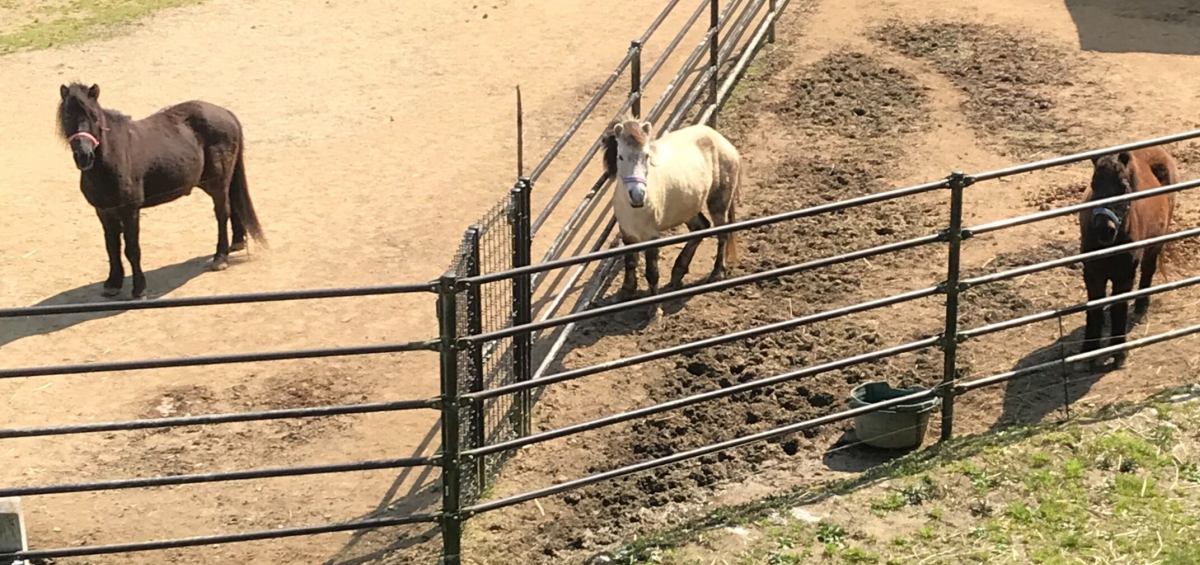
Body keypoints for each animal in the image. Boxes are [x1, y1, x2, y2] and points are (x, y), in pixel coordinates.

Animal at [56, 82, 266, 299]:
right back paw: (237, 241)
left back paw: (220, 257)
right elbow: (112, 247)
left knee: (222, 213)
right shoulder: (104, 211)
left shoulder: (130, 211)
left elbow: (132, 249)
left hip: (217, 182)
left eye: (94, 116)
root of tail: (226, 113)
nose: (84, 155)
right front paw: (113, 283)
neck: (112, 158)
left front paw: (139, 288)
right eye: (67, 116)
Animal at [601, 116, 742, 304]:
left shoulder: (652, 237)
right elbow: (630, 262)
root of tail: (721, 140)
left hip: (718, 201)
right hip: (688, 208)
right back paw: (677, 273)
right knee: (701, 227)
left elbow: (652, 272)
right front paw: (625, 292)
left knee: (722, 233)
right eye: (620, 156)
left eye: (646, 156)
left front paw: (654, 305)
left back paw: (717, 273)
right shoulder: (627, 233)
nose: (638, 195)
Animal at [1078, 147, 1178, 364]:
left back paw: (1141, 308)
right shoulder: (1092, 274)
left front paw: (1118, 352)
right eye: (1093, 185)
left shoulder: (1124, 276)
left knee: (1148, 271)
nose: (1104, 230)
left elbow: (1119, 308)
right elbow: (1094, 309)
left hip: (1155, 245)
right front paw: (1088, 351)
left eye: (1123, 187)